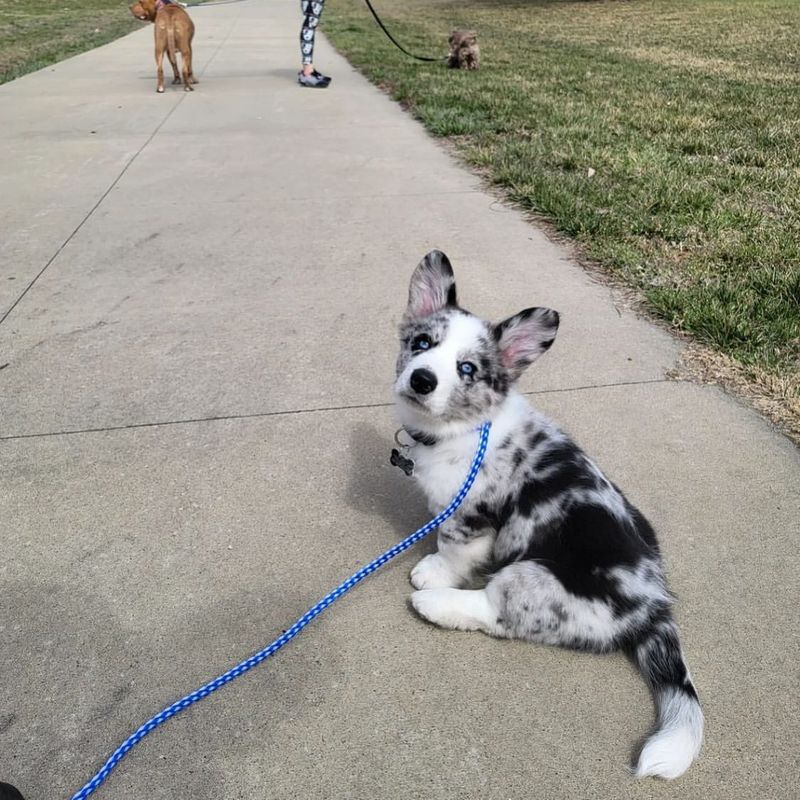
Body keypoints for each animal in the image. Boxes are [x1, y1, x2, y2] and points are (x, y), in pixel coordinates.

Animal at [392, 248, 700, 776]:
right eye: (422, 343)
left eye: (468, 369)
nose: (422, 379)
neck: (461, 430)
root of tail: (655, 606)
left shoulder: (473, 515)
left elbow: (452, 548)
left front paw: (432, 572)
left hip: (533, 576)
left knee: (496, 615)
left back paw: (434, 604)